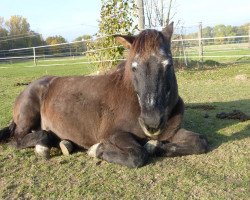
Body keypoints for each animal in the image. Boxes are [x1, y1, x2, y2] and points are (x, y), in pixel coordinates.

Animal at [0, 22, 207, 168]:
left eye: (168, 64)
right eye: (134, 67)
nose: (152, 123)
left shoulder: (171, 132)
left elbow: (200, 142)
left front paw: (154, 145)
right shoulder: (114, 134)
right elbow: (137, 155)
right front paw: (97, 149)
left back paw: (64, 143)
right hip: (28, 116)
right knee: (17, 140)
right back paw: (44, 146)